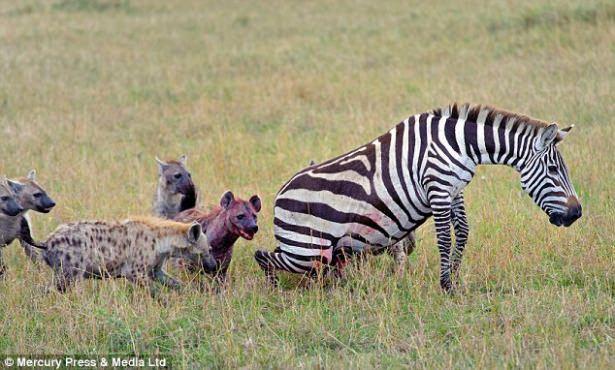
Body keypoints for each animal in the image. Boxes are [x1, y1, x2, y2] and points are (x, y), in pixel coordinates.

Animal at [255, 102, 584, 290]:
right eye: (554, 169)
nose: (577, 213)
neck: (460, 144)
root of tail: (279, 196)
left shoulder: (454, 189)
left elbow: (463, 232)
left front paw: (455, 278)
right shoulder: (437, 186)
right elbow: (445, 238)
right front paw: (446, 285)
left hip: (315, 250)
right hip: (308, 250)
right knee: (263, 256)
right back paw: (275, 287)